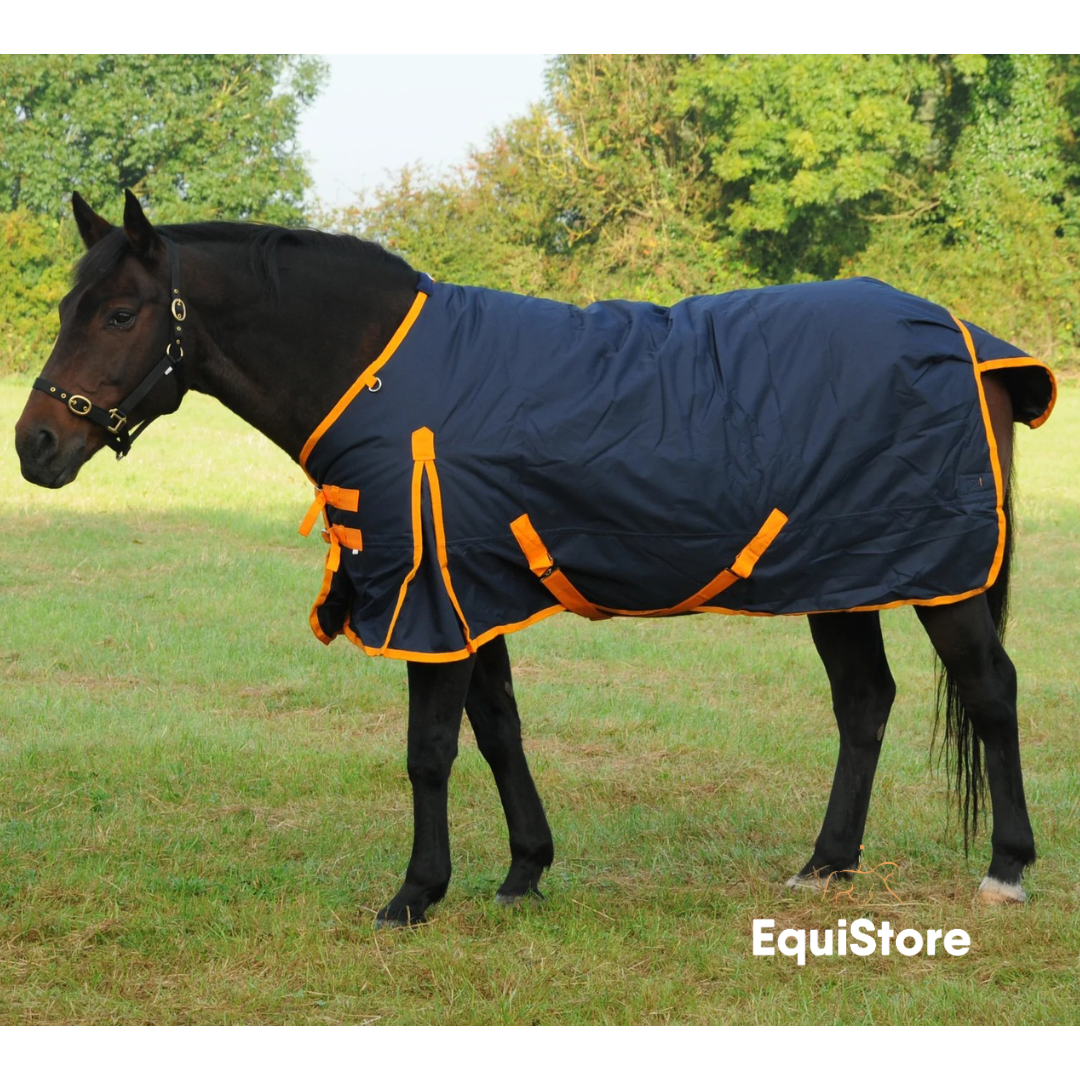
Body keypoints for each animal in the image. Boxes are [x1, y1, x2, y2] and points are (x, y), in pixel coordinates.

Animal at [15, 191, 1056, 926]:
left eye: (121, 314)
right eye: (69, 304)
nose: (34, 446)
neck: (384, 374)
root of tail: (969, 342)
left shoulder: (428, 597)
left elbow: (429, 751)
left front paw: (414, 894)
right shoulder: (468, 594)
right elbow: (499, 730)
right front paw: (524, 871)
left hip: (940, 578)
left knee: (990, 691)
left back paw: (1006, 868)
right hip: (846, 573)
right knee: (865, 702)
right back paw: (825, 864)